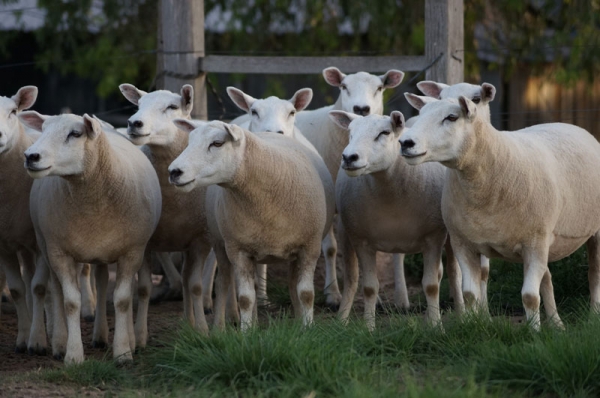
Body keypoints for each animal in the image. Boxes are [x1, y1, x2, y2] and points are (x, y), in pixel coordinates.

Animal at [19, 110, 161, 362]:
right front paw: (73, 355)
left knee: (103, 283)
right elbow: (70, 302)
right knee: (56, 290)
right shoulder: (59, 252)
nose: (31, 156)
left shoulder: (132, 252)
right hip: (46, 245)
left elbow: (122, 299)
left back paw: (109, 336)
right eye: (43, 130)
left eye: (75, 134)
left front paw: (123, 351)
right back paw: (60, 342)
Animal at [169, 120, 336, 330]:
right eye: (189, 141)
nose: (174, 172)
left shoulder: (310, 247)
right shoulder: (238, 250)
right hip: (221, 243)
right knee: (223, 283)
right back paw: (220, 328)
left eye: (217, 143)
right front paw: (246, 332)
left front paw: (306, 328)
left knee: (290, 284)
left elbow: (306, 294)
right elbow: (245, 298)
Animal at [292, 67, 406, 308]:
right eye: (344, 87)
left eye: (379, 88)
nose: (361, 109)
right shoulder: (329, 203)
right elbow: (331, 248)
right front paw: (333, 294)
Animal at [328, 109, 464, 330]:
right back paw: (341, 319)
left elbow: (431, 285)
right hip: (346, 231)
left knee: (453, 272)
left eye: (384, 133)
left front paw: (437, 327)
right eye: (350, 132)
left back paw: (462, 315)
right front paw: (368, 328)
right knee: (351, 278)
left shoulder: (433, 237)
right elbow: (369, 287)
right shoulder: (362, 240)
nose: (349, 157)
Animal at [398, 93, 600, 330]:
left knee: (594, 273)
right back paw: (557, 324)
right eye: (420, 114)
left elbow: (529, 296)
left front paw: (535, 334)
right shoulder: (463, 243)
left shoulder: (535, 242)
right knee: (547, 278)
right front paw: (474, 327)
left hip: (584, 234)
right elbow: (470, 294)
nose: (405, 142)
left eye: (452, 117)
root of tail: (570, 125)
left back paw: (593, 315)